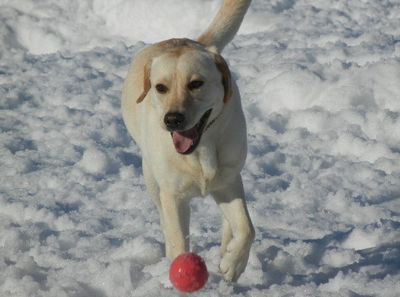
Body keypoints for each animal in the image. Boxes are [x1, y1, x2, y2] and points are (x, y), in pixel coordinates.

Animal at [120, 0, 255, 280]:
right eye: (160, 87)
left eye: (196, 84)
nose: (172, 119)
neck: (200, 151)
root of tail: (193, 41)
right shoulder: (173, 196)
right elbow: (178, 242)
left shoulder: (227, 183)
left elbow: (248, 229)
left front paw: (233, 264)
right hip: (151, 178)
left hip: (231, 174)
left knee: (233, 221)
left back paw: (227, 246)